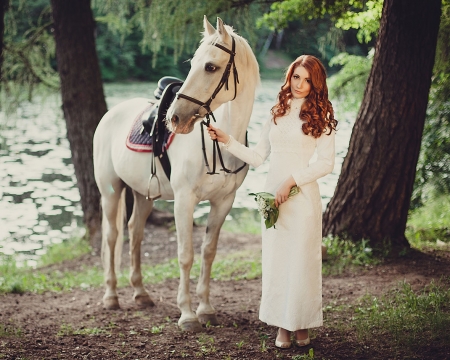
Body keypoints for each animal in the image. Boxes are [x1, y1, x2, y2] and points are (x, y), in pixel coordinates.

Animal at [93, 16, 258, 332]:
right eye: (193, 63)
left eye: (211, 66)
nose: (175, 118)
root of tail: (111, 114)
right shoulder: (184, 201)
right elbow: (185, 255)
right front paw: (187, 314)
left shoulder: (223, 203)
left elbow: (208, 252)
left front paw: (206, 309)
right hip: (110, 190)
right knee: (112, 237)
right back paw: (110, 296)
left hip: (142, 195)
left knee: (135, 233)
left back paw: (141, 294)